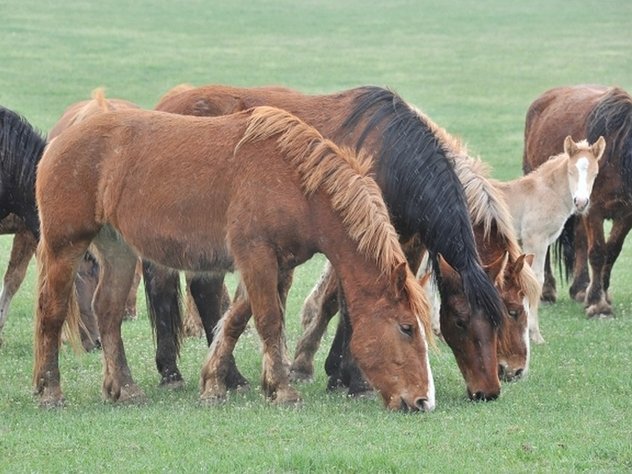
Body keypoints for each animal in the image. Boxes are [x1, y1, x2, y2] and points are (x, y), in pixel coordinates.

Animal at [33, 106, 434, 412]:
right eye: (406, 328)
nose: (423, 401)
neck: (297, 184)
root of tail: (61, 139)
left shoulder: (274, 264)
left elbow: (236, 319)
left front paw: (214, 383)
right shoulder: (256, 256)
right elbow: (268, 321)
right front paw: (283, 390)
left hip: (118, 250)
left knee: (108, 313)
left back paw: (124, 388)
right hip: (65, 246)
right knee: (52, 312)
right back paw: (50, 391)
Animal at [151, 85, 512, 400]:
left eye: (500, 319)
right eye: (460, 321)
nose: (489, 390)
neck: (390, 154)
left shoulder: (401, 244)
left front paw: (337, 372)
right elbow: (345, 303)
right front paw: (349, 377)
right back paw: (205, 374)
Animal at [524, 85, 632, 318]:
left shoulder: (626, 214)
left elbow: (611, 251)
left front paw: (599, 294)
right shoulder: (594, 209)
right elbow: (598, 252)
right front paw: (598, 304)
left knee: (581, 238)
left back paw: (581, 287)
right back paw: (547, 291)